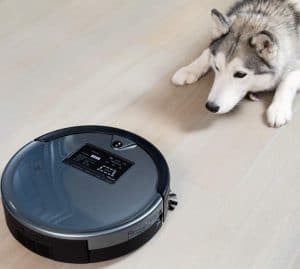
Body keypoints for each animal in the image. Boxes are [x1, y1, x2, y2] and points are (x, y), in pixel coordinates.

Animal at [172, 0, 300, 127]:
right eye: (217, 67)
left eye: (240, 74)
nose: (211, 107)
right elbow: (207, 52)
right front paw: (189, 69)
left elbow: (288, 80)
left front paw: (278, 109)